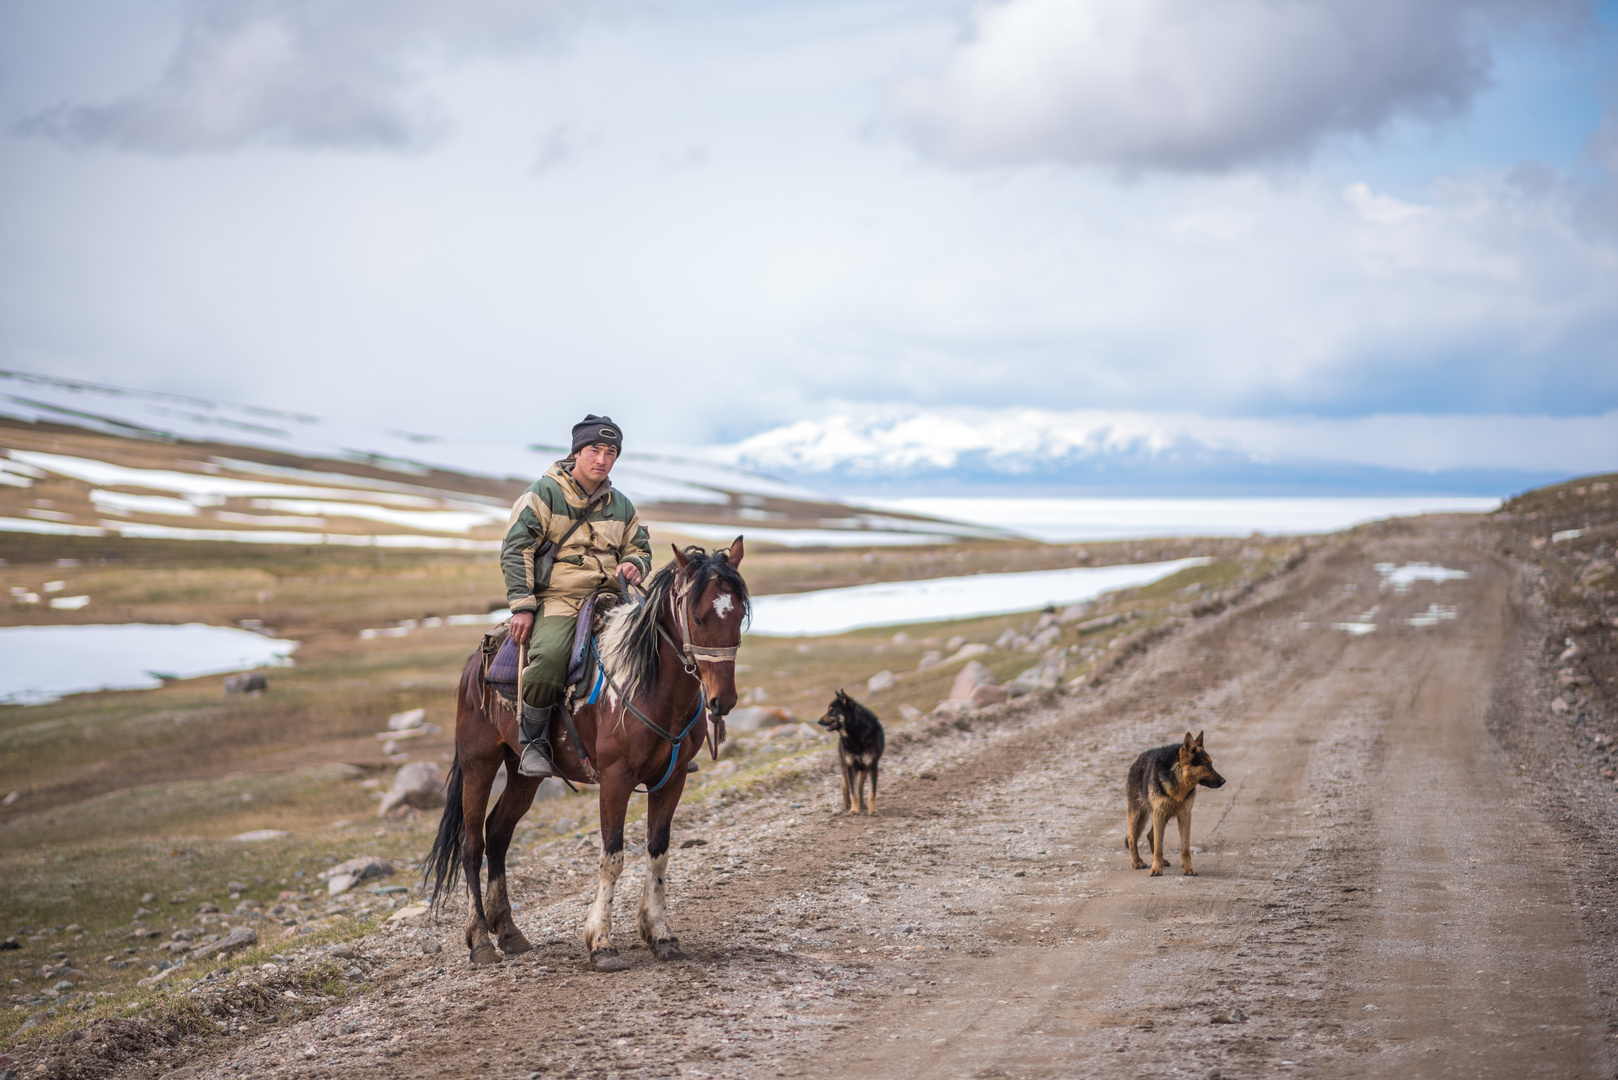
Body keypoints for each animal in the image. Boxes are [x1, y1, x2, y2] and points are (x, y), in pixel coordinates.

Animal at [417, 540, 744, 971]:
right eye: (699, 617)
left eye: (739, 615)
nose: (723, 701)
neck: (648, 684)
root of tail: (476, 663)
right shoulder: (616, 780)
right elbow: (612, 856)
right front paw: (601, 943)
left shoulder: (671, 780)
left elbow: (658, 854)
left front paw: (661, 934)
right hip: (479, 765)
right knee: (472, 846)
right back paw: (481, 942)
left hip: (524, 774)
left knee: (498, 833)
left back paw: (510, 933)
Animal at [1126, 735, 1223, 880]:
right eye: (1206, 764)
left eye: (1211, 763)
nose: (1224, 781)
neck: (1178, 779)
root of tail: (1137, 760)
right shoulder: (1159, 813)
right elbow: (1159, 848)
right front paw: (1156, 869)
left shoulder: (1185, 815)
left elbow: (1185, 848)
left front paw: (1188, 868)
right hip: (1140, 814)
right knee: (1131, 837)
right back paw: (1137, 861)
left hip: (1161, 816)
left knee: (1150, 835)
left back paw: (1162, 861)